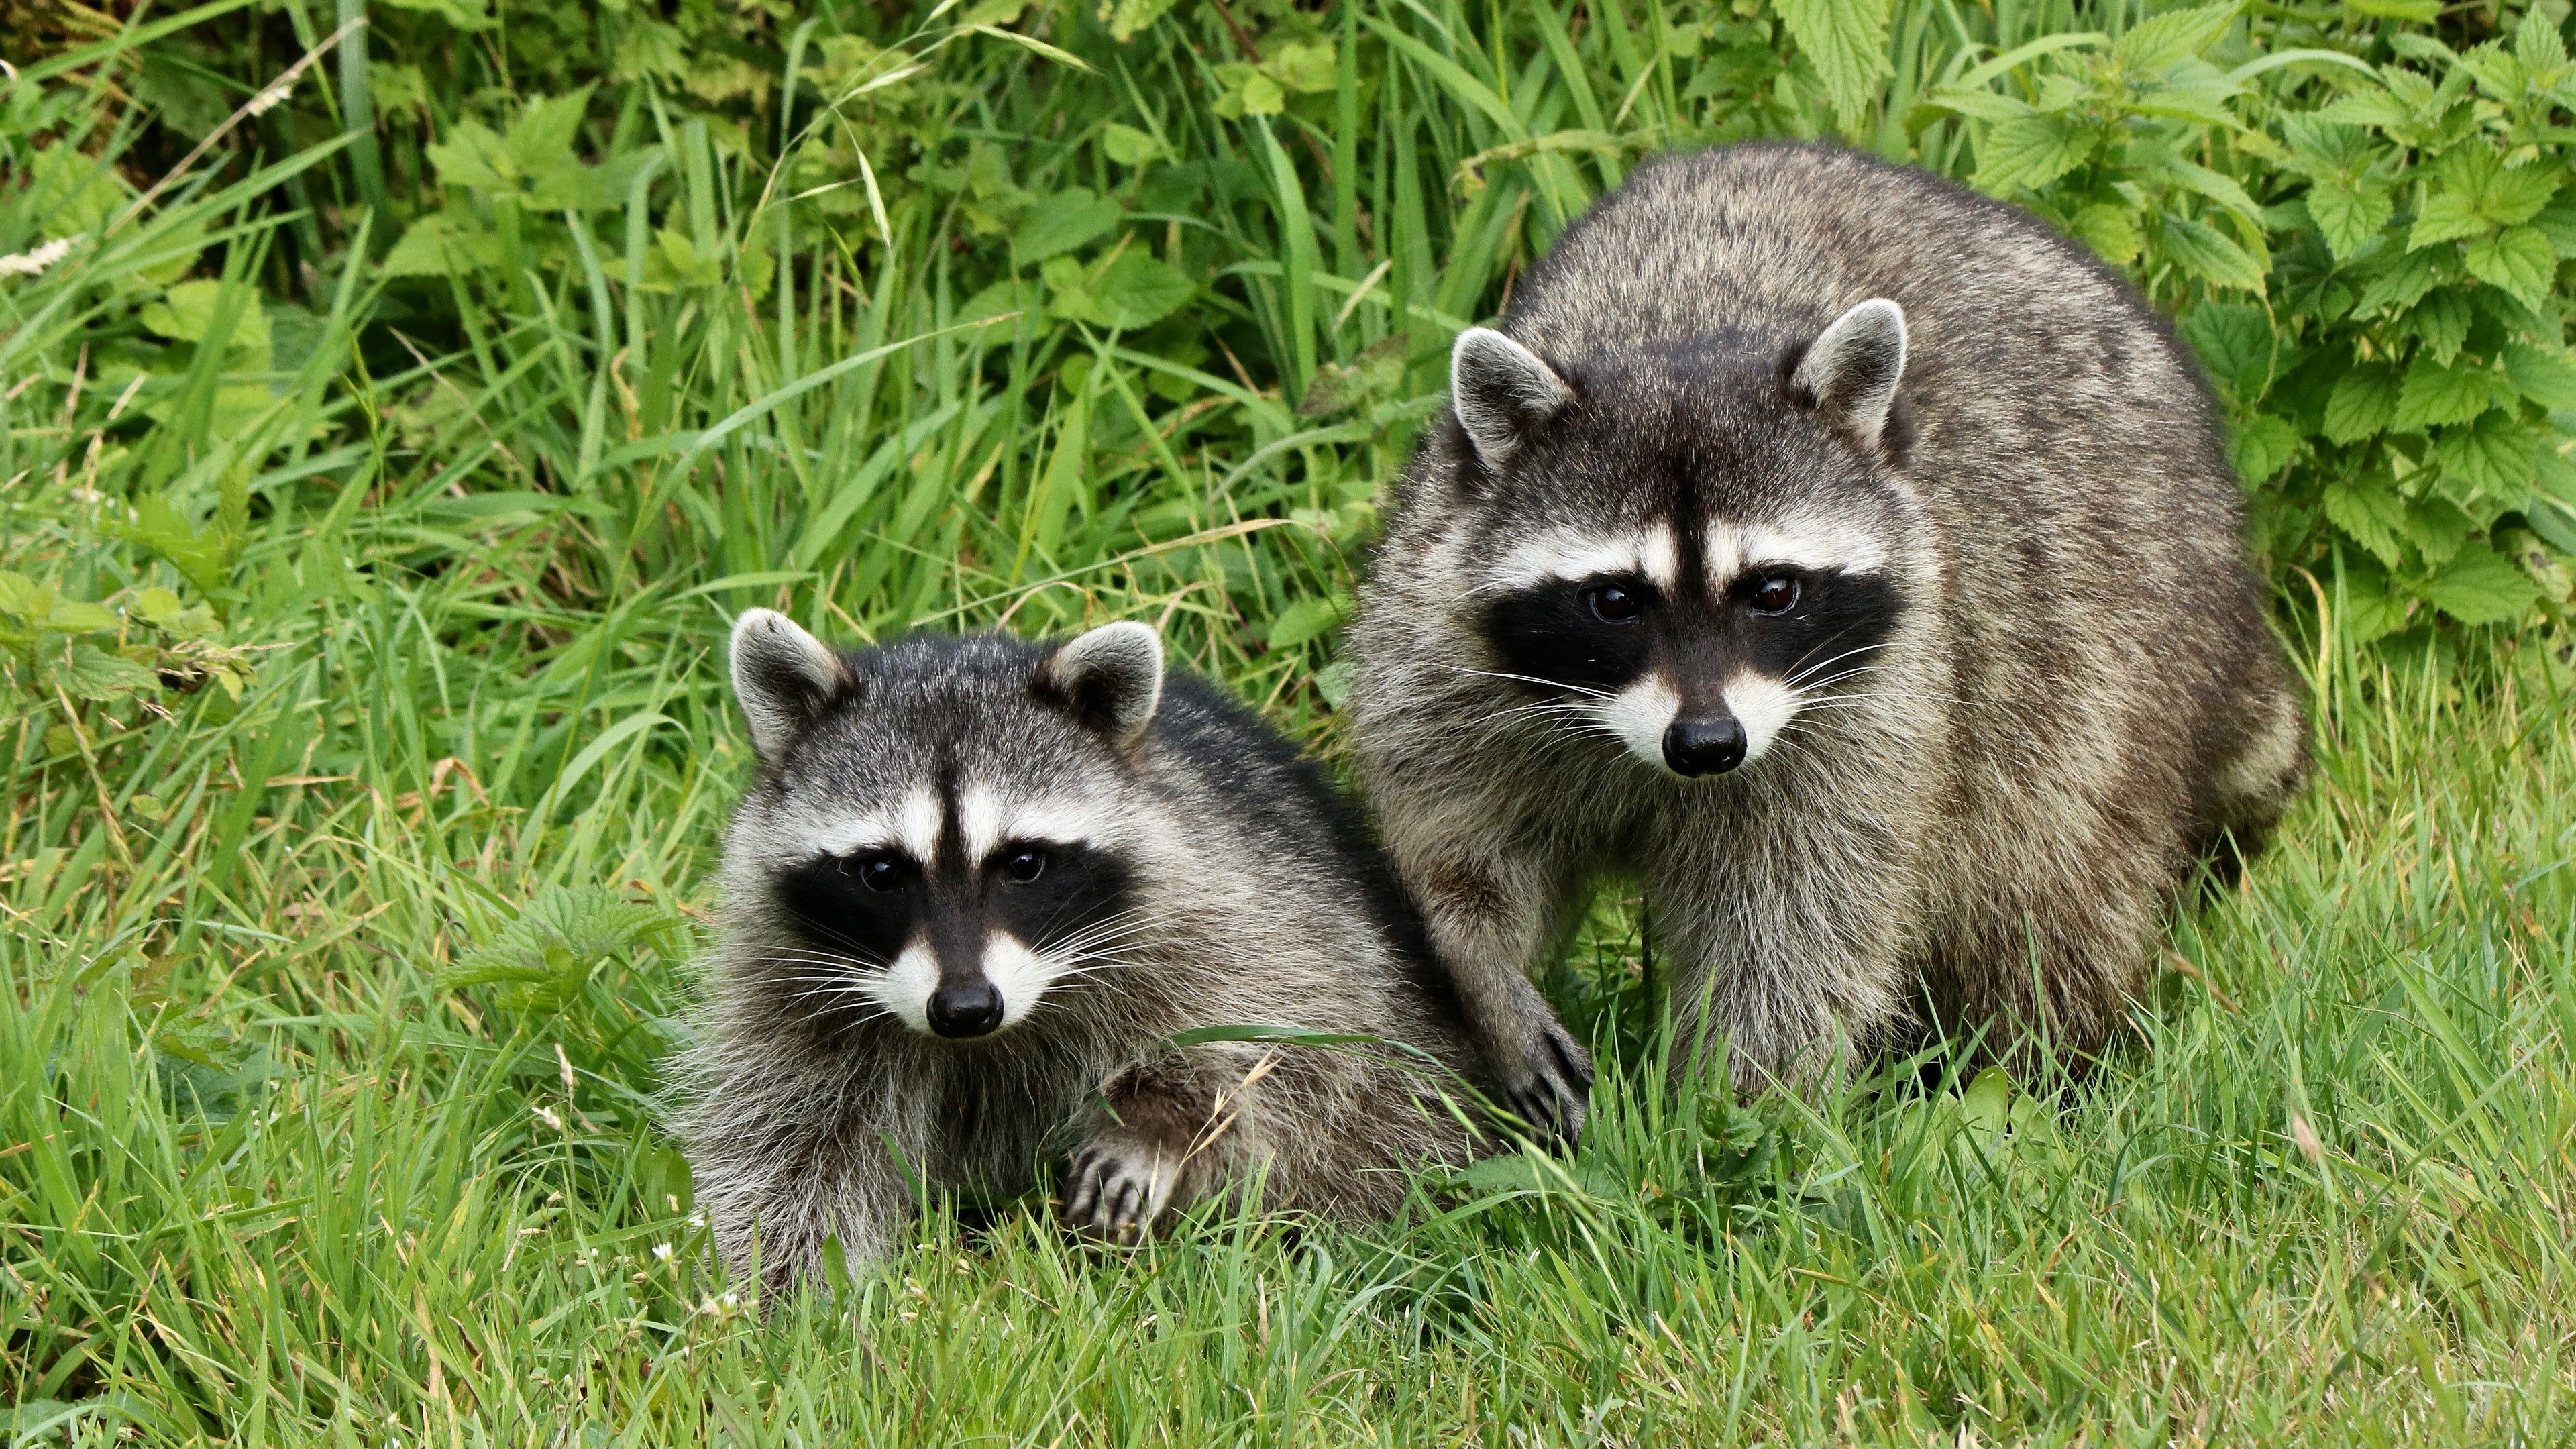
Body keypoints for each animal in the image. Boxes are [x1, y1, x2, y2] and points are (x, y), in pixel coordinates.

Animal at [678, 611, 1486, 1288]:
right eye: (880, 872)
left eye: (1024, 863)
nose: (965, 1007)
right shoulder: (787, 985)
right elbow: (790, 1146)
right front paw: (779, 1307)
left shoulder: (1226, 909)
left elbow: (1289, 1044)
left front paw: (1159, 1120)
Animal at [1347, 142, 2305, 1136]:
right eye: (1614, 600)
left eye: (1773, 591)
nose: (1707, 744)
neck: (1676, 335)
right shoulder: (1444, 641)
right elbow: (1459, 840)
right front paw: (1483, 970)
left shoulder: (1877, 702)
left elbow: (1798, 927)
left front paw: (1728, 1119)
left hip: (2108, 644)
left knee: (2054, 876)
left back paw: (2043, 1069)